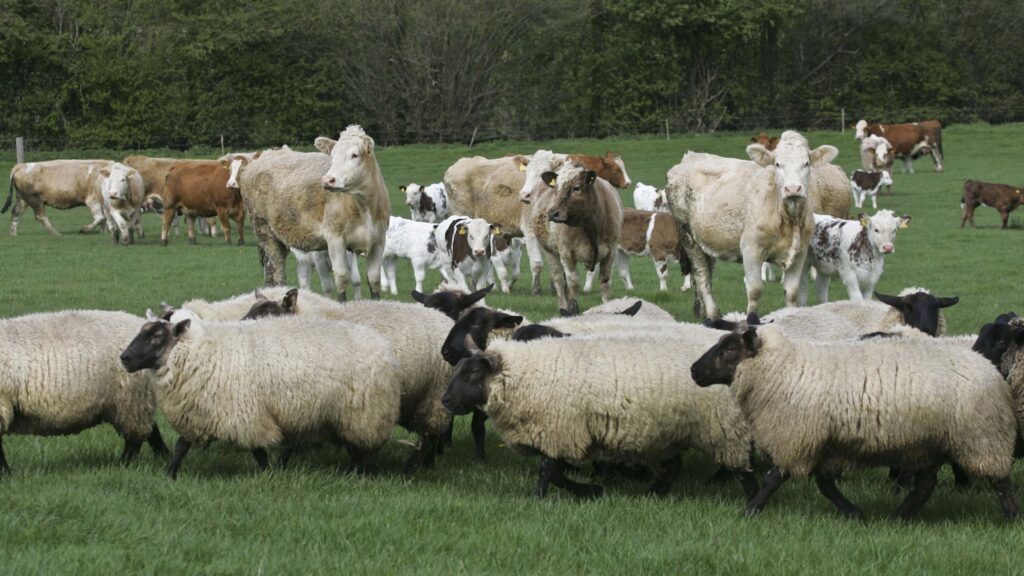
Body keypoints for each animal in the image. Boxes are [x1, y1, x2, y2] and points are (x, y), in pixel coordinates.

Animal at [0, 311, 169, 474]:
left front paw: (5, 474)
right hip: (130, 401)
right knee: (150, 429)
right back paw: (163, 456)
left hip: (132, 397)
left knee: (135, 437)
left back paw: (125, 464)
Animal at [120, 314, 401, 479]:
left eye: (157, 336)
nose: (124, 358)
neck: (197, 352)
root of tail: (384, 348)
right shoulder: (198, 411)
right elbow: (181, 446)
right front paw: (169, 473)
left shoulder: (245, 413)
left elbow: (257, 449)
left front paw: (267, 474)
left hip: (365, 412)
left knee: (365, 447)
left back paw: (359, 473)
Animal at [442, 335, 757, 499]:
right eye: (457, 368)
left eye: (473, 372)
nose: (444, 401)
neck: (525, 375)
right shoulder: (557, 433)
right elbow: (556, 472)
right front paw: (589, 490)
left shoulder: (561, 429)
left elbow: (549, 471)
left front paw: (544, 497)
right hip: (675, 430)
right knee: (672, 468)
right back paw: (652, 493)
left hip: (723, 429)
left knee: (743, 468)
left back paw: (753, 500)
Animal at [691, 325, 1020, 520]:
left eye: (729, 350)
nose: (694, 370)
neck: (785, 368)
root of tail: (992, 370)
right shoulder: (821, 441)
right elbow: (825, 485)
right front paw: (853, 513)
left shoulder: (796, 436)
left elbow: (774, 478)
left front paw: (749, 510)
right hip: (931, 443)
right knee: (926, 484)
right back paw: (899, 517)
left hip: (981, 436)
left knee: (1001, 480)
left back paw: (1012, 517)